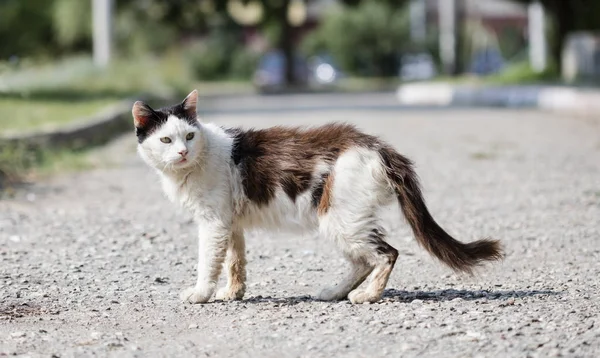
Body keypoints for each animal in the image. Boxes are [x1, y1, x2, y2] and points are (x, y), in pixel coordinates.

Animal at [131, 90, 502, 304]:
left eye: (190, 136)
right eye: (166, 140)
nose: (182, 152)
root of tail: (377, 146)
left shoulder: (213, 223)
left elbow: (209, 261)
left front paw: (201, 294)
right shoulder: (229, 222)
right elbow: (236, 262)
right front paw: (233, 293)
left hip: (339, 217)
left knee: (386, 254)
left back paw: (367, 296)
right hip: (341, 217)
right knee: (363, 261)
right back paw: (335, 293)